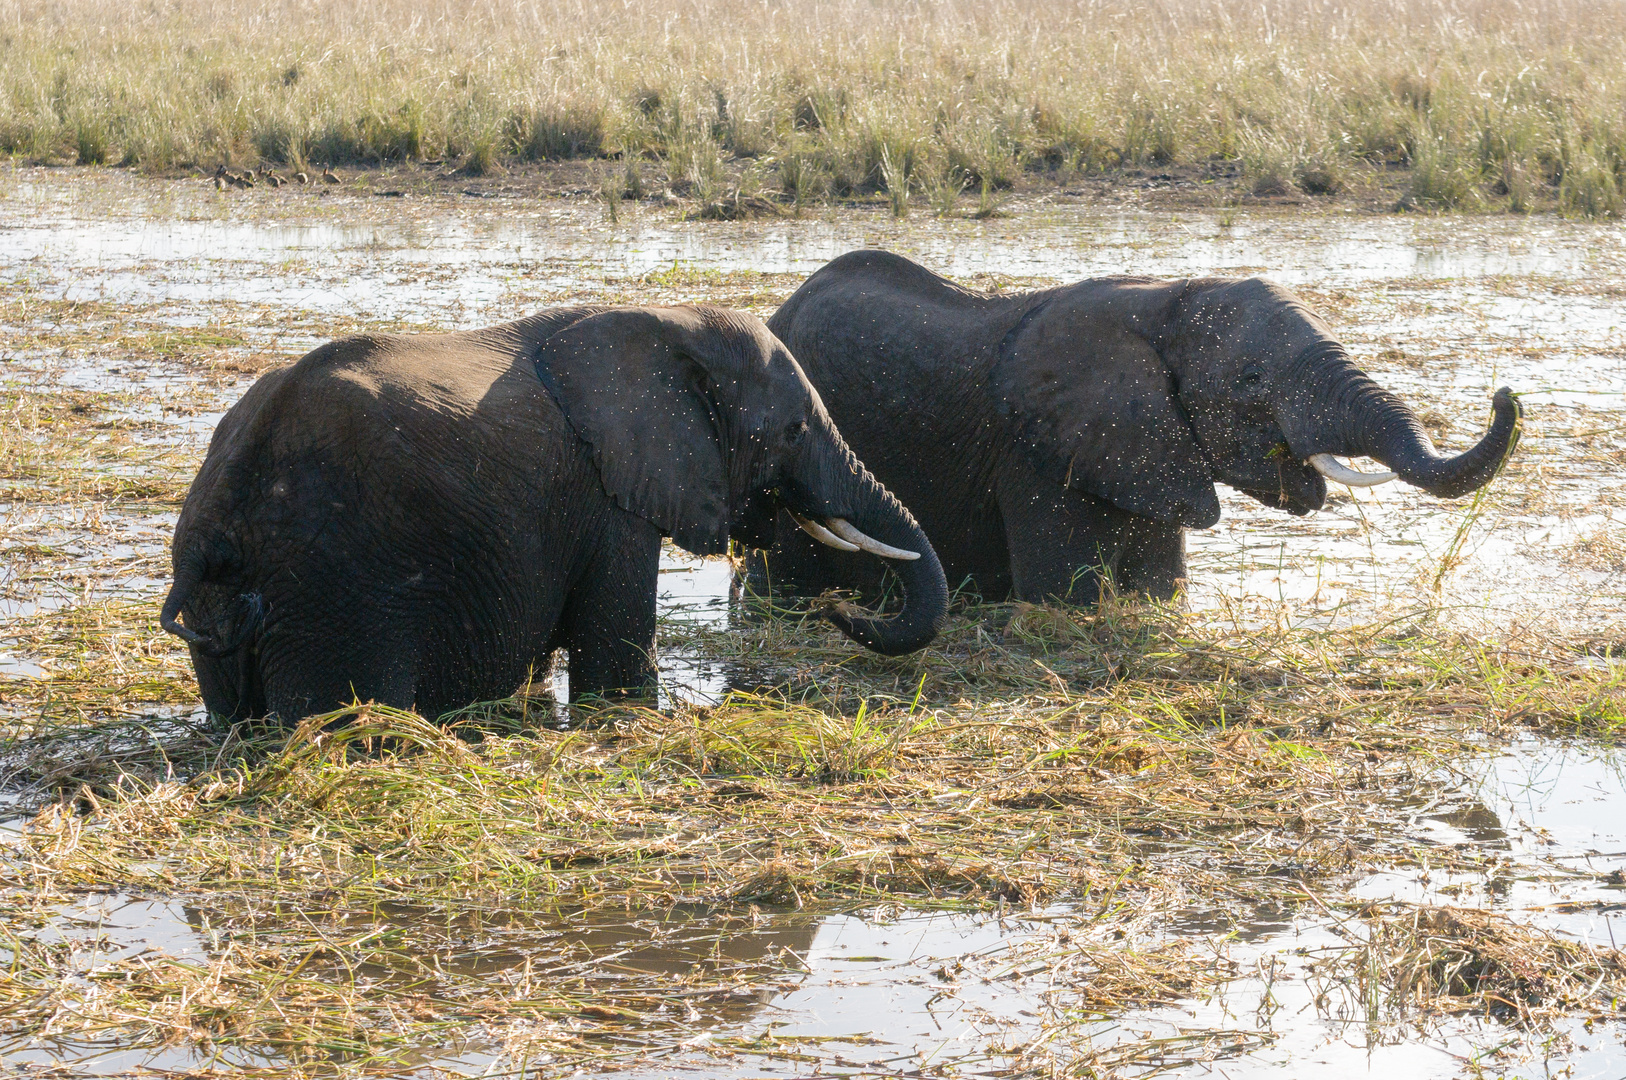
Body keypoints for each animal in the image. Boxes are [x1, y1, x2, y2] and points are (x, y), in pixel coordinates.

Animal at [158, 304, 949, 722]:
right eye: (791, 431)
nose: (838, 609)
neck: (665, 324)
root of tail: (218, 520)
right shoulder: (610, 502)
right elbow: (616, 668)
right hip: (335, 587)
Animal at [754, 253, 1515, 608]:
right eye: (1250, 382)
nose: (1504, 393)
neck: (1160, 300)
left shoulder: (1143, 449)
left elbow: (1160, 588)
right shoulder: (1037, 451)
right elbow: (1067, 595)